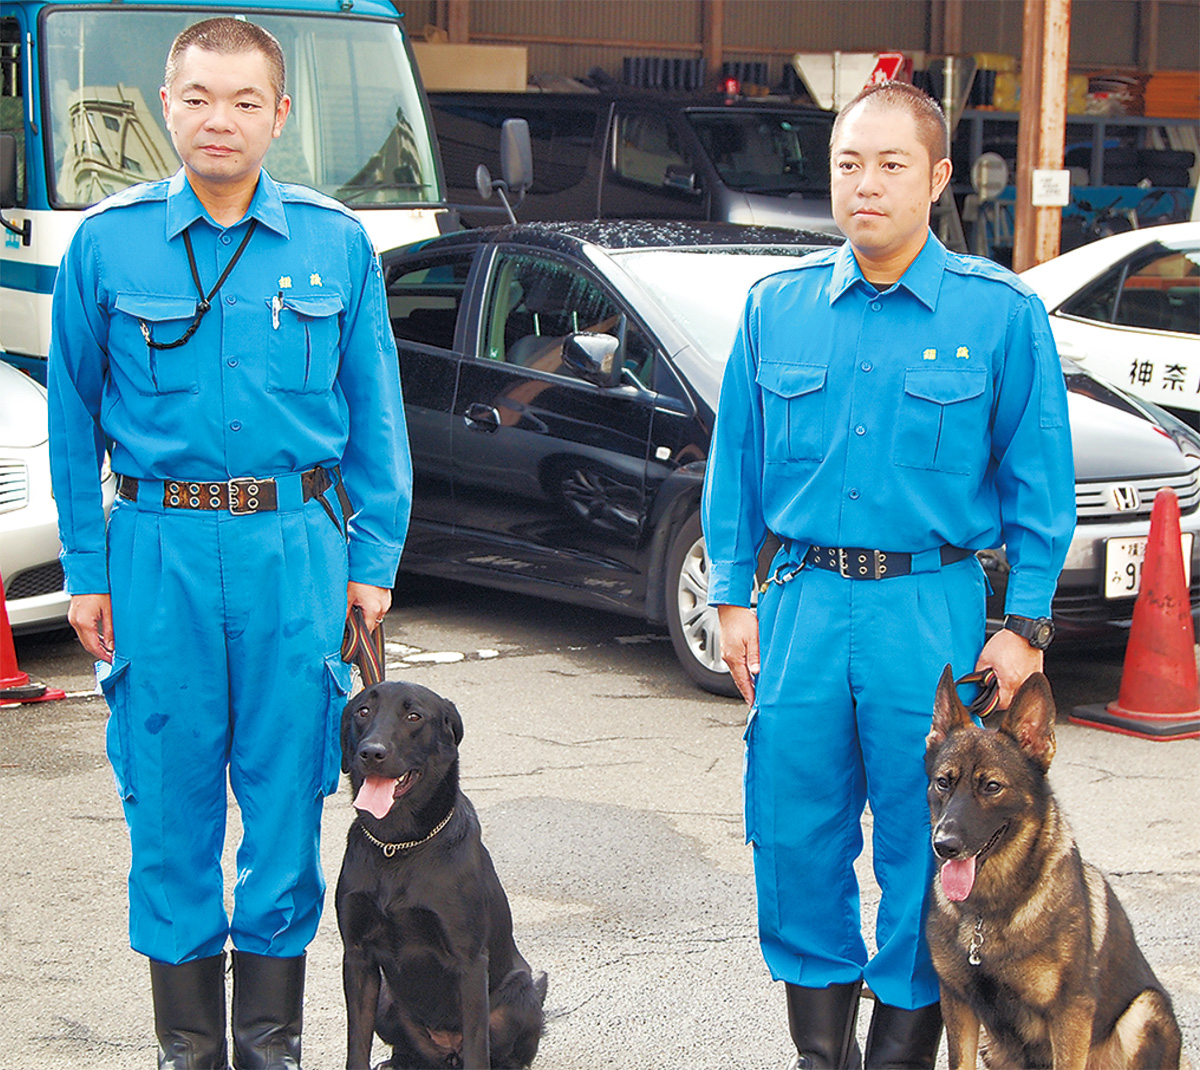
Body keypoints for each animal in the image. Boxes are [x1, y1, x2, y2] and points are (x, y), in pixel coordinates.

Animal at [336, 686, 547, 1070]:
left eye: (414, 716)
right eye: (362, 711)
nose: (371, 752)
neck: (397, 846)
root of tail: (446, 1052)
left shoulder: (469, 962)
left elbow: (478, 1048)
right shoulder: (357, 957)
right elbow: (356, 1045)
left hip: (520, 998)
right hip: (387, 1002)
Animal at [921, 666, 1185, 1065]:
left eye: (992, 786)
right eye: (942, 783)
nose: (944, 845)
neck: (987, 910)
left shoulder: (1070, 1013)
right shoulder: (958, 1004)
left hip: (1144, 1010)